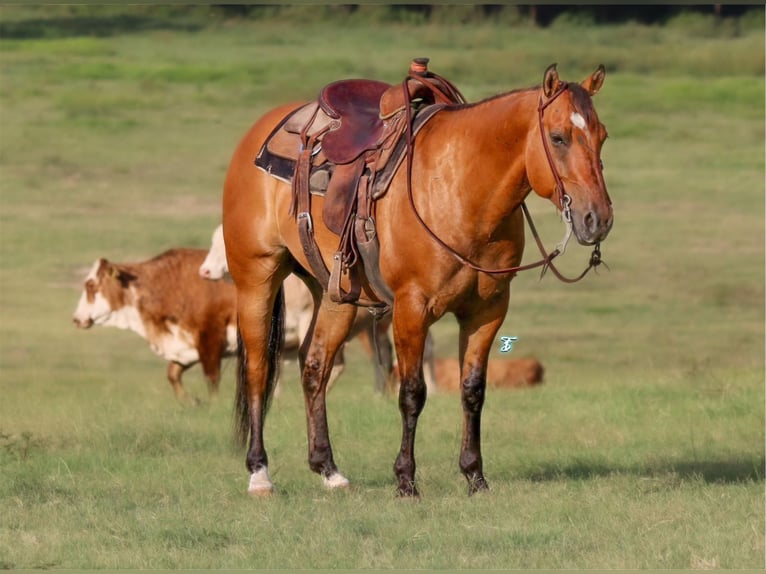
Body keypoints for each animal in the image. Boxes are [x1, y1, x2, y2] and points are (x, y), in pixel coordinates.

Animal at [75, 249, 238, 404]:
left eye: (90, 285)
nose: (76, 318)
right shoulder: (186, 347)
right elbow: (172, 374)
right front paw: (192, 402)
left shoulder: (210, 340)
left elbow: (212, 379)